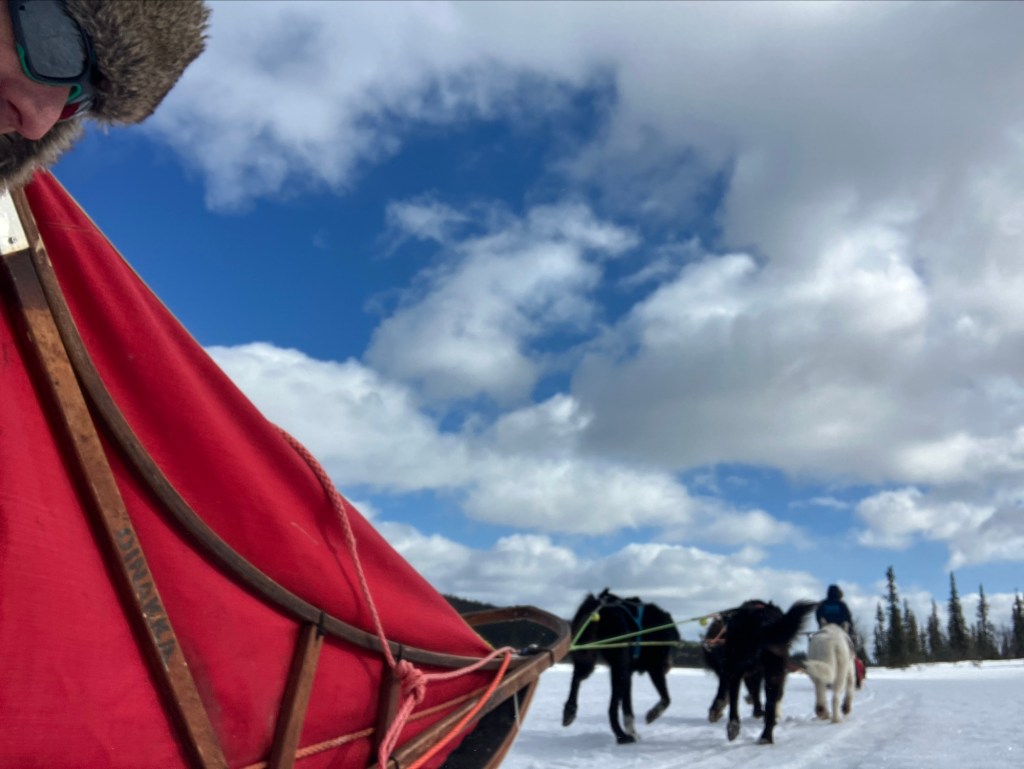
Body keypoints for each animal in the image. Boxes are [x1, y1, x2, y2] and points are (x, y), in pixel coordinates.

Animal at [561, 589, 680, 744]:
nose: (668, 665)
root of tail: (600, 606)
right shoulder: (654, 668)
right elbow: (666, 698)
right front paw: (652, 714)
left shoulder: (628, 674)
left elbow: (627, 709)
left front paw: (633, 731)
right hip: (619, 670)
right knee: (611, 708)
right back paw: (621, 736)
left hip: (587, 660)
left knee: (576, 680)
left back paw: (570, 711)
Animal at [715, 599, 817, 744]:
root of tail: (762, 621)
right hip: (772, 673)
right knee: (769, 706)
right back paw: (765, 736)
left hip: (739, 667)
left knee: (735, 701)